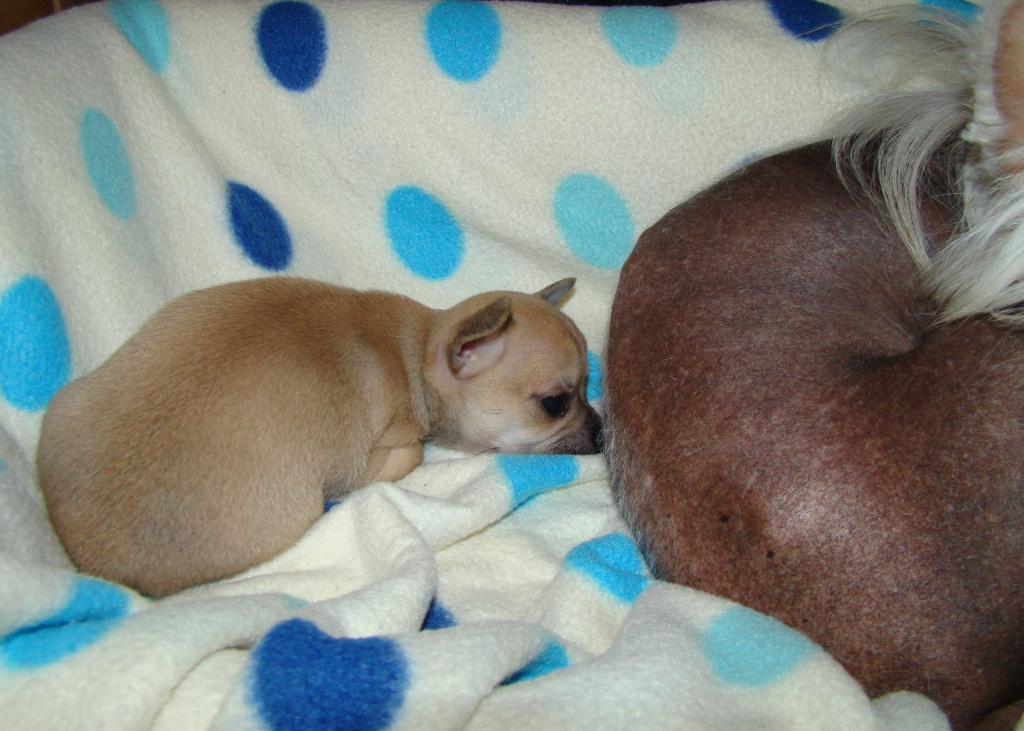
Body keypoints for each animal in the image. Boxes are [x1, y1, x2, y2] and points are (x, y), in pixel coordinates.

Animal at [37, 276, 602, 597]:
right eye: (556, 403)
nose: (603, 433)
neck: (416, 351)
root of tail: (91, 562)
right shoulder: (385, 452)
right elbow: (412, 453)